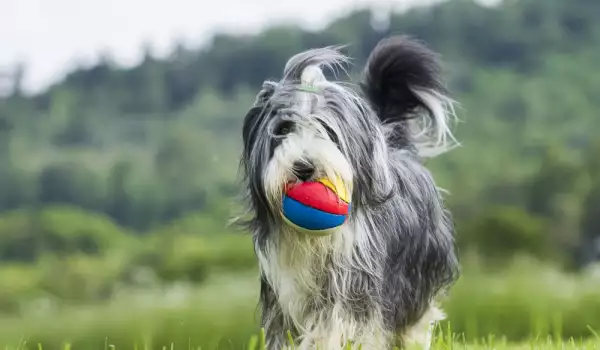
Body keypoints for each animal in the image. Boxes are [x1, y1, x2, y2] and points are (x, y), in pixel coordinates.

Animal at [238, 36, 460, 350]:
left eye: (328, 130)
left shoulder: (353, 274)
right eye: (283, 128)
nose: (303, 167)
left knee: (416, 315)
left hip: (419, 266)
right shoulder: (283, 282)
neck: (312, 241)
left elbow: (338, 318)